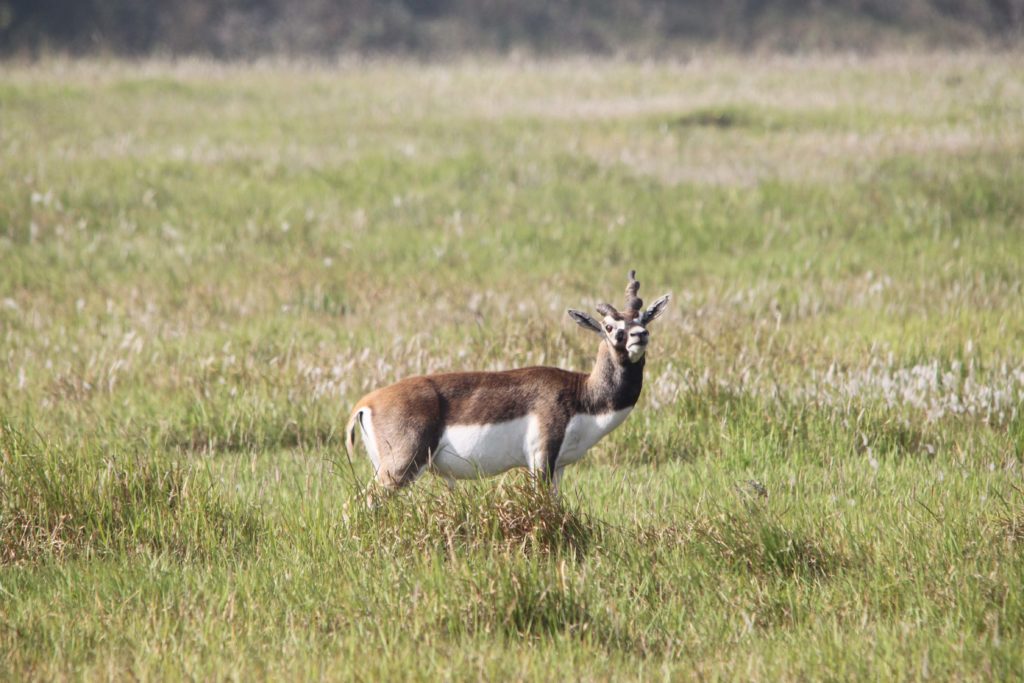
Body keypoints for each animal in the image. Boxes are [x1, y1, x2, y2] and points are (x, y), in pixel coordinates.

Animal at [344, 270, 667, 499]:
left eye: (643, 319)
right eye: (610, 327)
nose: (640, 335)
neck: (583, 395)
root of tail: (366, 403)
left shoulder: (560, 467)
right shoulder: (540, 459)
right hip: (400, 468)